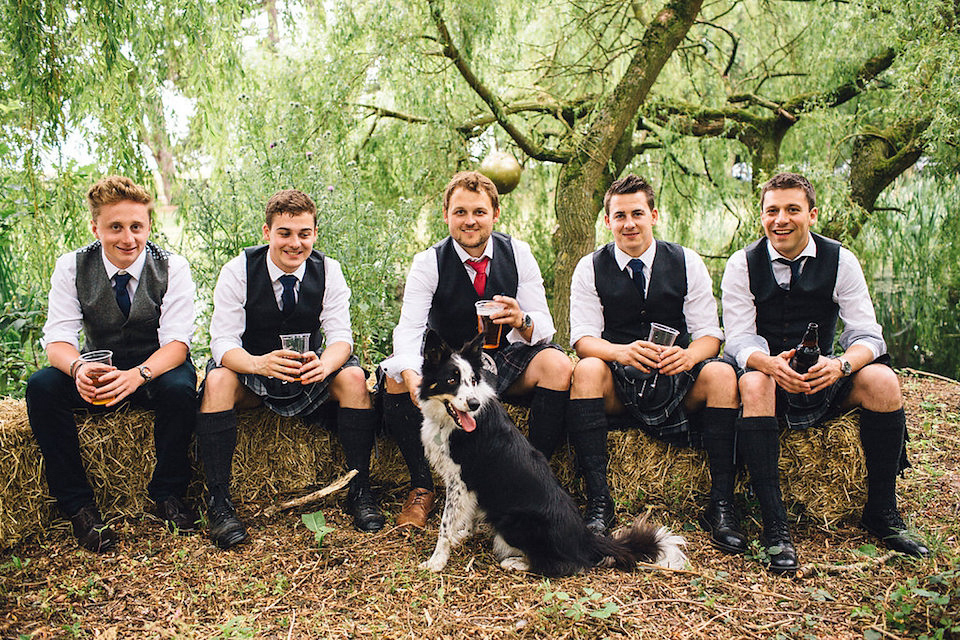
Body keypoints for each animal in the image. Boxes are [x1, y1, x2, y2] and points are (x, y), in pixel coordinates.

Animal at [416, 328, 688, 576]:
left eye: (473, 380)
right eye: (452, 380)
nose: (473, 404)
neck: (449, 422)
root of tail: (586, 538)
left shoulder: (459, 481)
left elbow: (444, 525)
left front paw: (436, 561)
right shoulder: (472, 485)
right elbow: (467, 516)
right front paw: (462, 535)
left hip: (514, 522)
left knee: (564, 565)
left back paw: (516, 562)